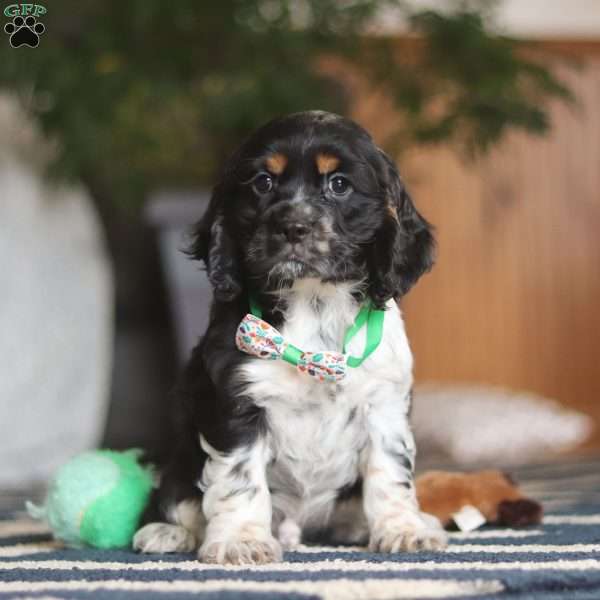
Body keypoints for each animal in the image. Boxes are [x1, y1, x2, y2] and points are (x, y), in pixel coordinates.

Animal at [135, 110, 446, 564]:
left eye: (339, 184)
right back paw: (165, 532)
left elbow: (390, 472)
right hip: (179, 462)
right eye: (263, 182)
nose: (293, 227)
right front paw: (241, 541)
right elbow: (239, 478)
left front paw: (404, 530)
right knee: (178, 498)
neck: (313, 301)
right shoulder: (236, 401)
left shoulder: (383, 403)